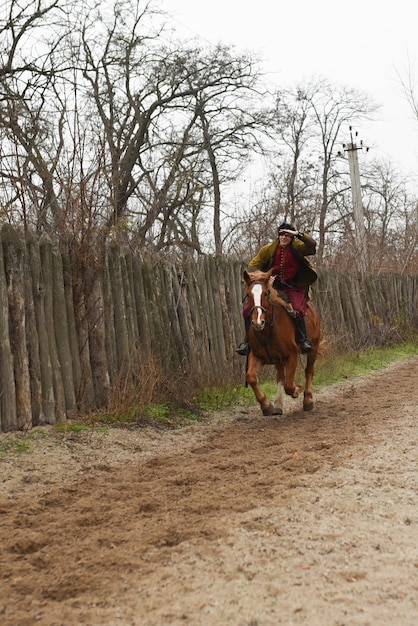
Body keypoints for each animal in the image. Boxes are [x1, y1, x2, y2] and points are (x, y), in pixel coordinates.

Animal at [243, 268, 322, 414]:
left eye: (265, 293)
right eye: (248, 295)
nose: (257, 322)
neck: (267, 330)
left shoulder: (292, 355)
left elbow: (289, 385)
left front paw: (297, 389)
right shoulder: (256, 355)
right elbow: (251, 377)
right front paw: (266, 406)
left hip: (314, 345)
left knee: (309, 370)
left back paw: (308, 400)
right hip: (277, 359)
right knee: (280, 377)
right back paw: (278, 404)